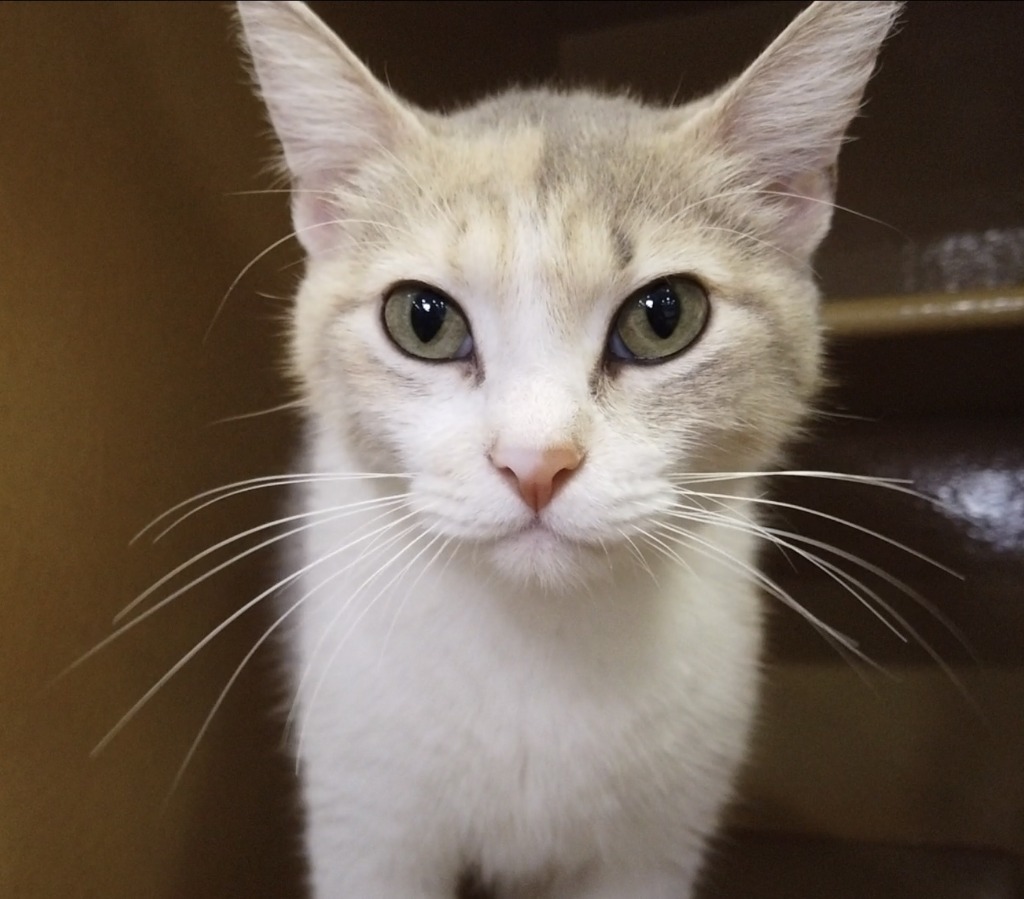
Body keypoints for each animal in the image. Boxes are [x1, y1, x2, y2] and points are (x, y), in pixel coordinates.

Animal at [230, 1, 897, 899]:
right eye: (423, 320)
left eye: (663, 315)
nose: (535, 460)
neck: (541, 650)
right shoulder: (367, 825)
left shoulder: (654, 846)